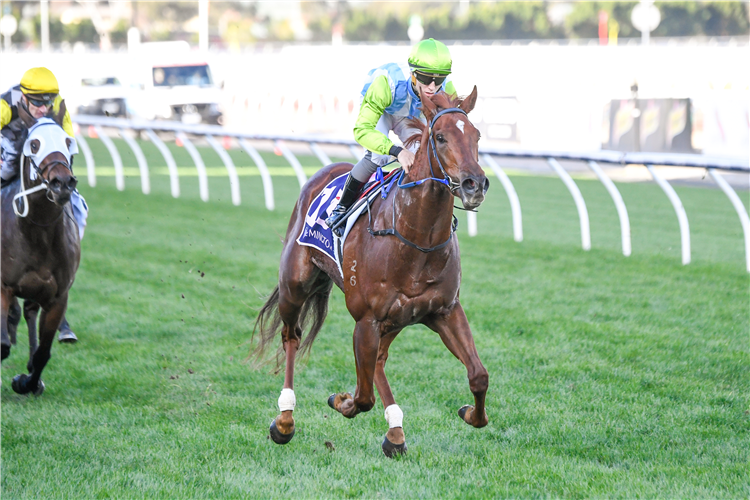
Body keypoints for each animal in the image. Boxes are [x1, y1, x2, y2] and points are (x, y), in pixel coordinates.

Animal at [0, 117, 81, 394]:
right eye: (34, 144)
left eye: (68, 142)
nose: (62, 182)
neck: (39, 234)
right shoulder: (3, 287)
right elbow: (2, 345)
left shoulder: (57, 296)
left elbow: (43, 354)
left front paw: (27, 382)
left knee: (29, 312)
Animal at [254, 87, 494, 458]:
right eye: (440, 137)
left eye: (477, 135)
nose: (474, 184)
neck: (414, 238)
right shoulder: (366, 319)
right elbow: (363, 397)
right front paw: (341, 401)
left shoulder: (445, 311)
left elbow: (478, 376)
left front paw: (470, 413)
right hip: (295, 284)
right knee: (291, 337)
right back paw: (285, 420)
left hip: (393, 321)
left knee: (378, 361)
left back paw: (395, 432)